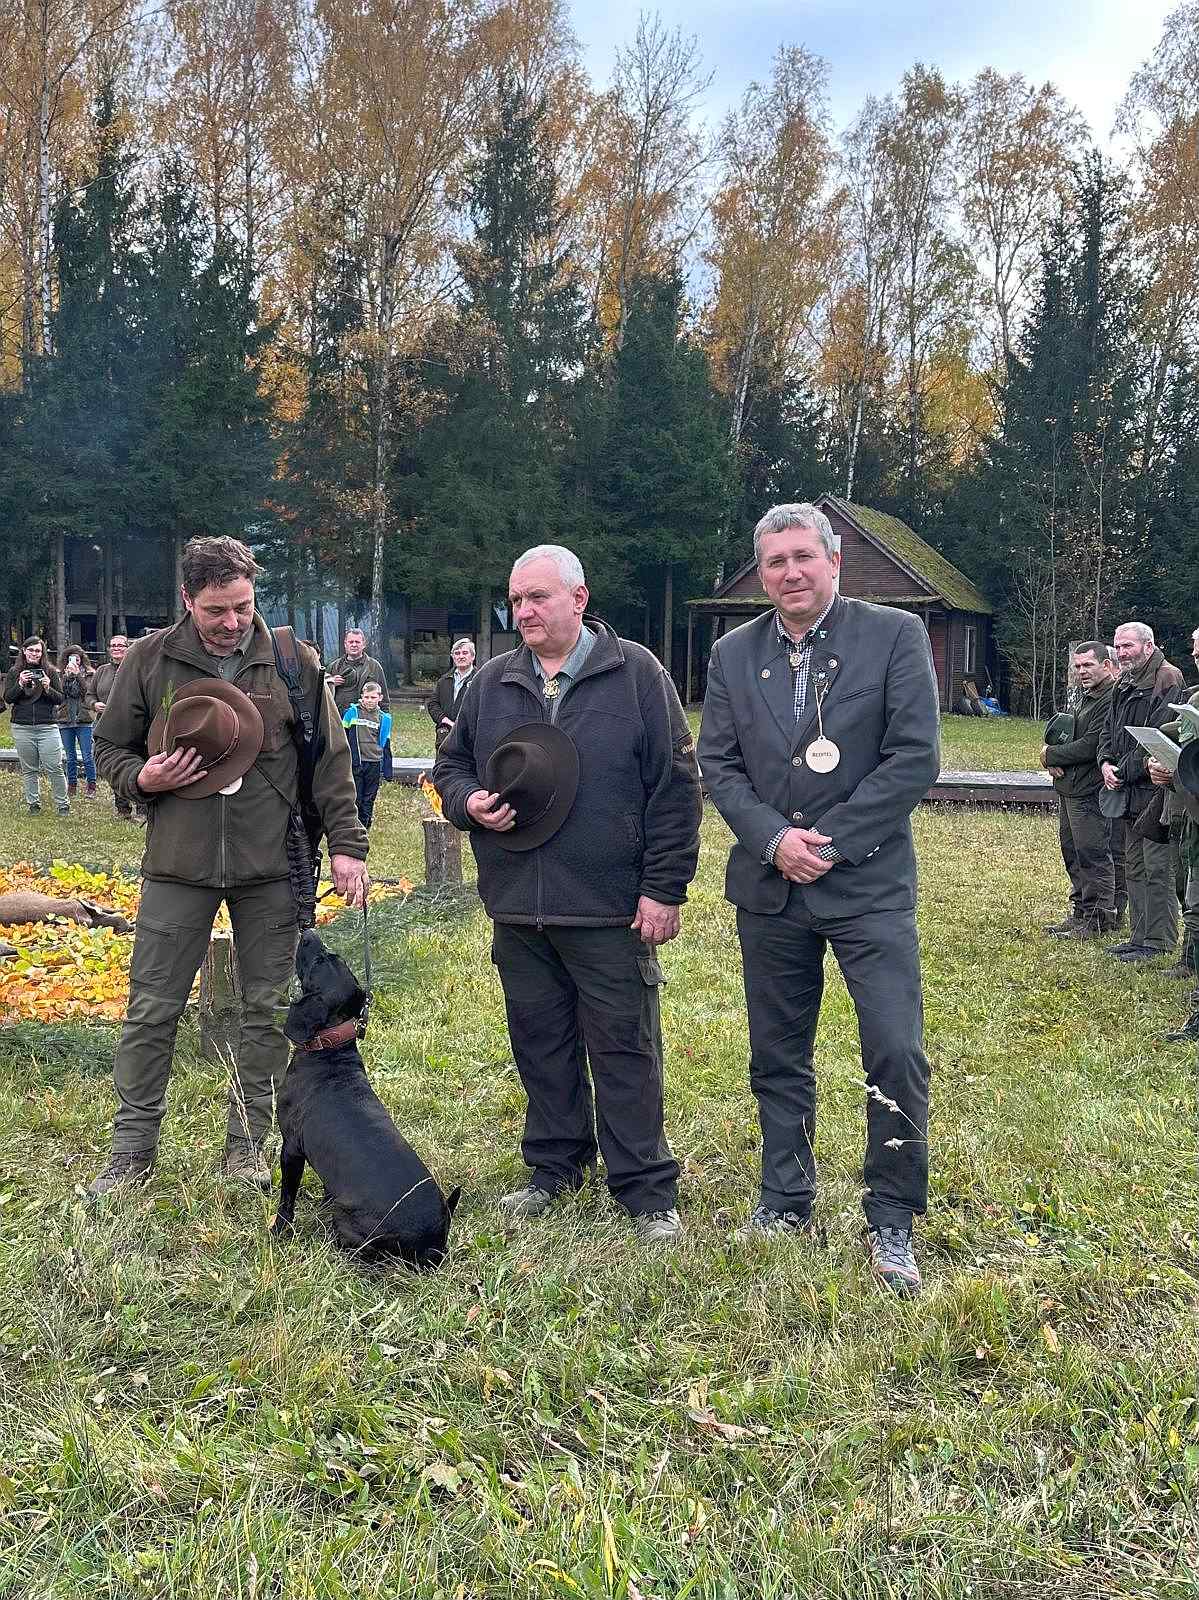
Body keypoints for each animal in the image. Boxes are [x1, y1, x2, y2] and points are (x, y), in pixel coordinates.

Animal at [272, 929, 460, 1269]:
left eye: (320, 961)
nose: (308, 931)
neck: (330, 1050)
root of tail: (434, 1242)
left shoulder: (291, 1147)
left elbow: (287, 1197)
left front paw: (279, 1229)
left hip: (348, 1225)